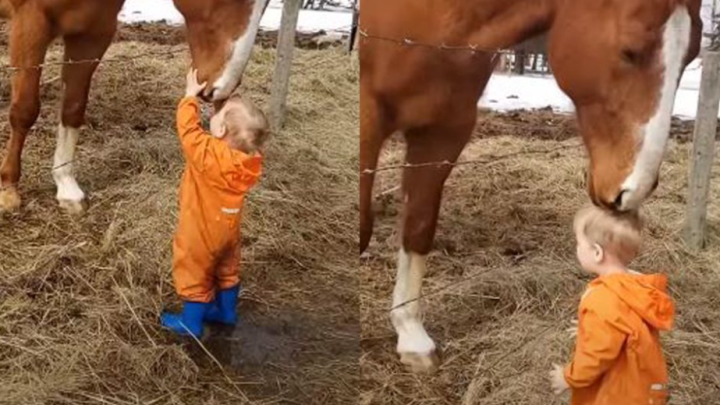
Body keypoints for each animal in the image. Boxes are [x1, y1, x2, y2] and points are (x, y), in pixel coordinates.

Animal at [0, 0, 268, 213]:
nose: (224, 88)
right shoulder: (31, 23)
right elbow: (25, 110)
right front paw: (8, 188)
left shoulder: (93, 34)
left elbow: (73, 108)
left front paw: (66, 185)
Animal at [360, 0, 704, 372]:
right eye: (630, 51)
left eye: (692, 55)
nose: (633, 191)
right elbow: (364, 224)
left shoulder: (443, 134)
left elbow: (419, 228)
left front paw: (411, 336)